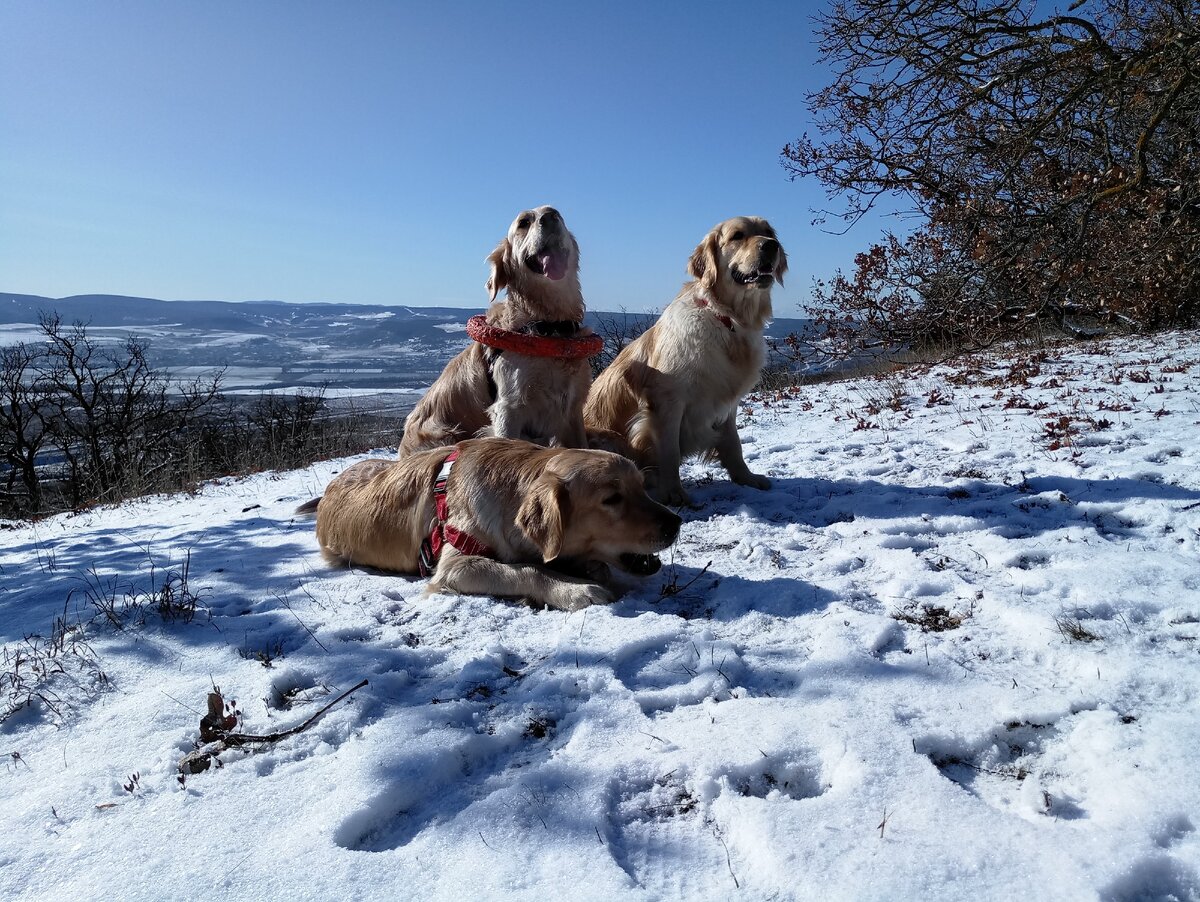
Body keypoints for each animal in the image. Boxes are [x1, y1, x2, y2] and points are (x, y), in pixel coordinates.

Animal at [298, 439, 681, 614]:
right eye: (612, 499)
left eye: (641, 487)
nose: (675, 523)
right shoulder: (454, 566)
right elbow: (526, 569)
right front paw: (574, 589)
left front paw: (585, 569)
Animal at [398, 207, 595, 453]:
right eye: (523, 223)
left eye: (559, 216)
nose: (550, 216)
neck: (549, 326)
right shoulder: (508, 409)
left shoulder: (573, 409)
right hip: (444, 436)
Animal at [583, 214, 787, 503]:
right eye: (737, 236)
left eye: (769, 232)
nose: (771, 246)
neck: (728, 319)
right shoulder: (667, 401)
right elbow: (670, 452)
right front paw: (674, 494)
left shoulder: (727, 403)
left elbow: (733, 443)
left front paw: (745, 478)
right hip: (608, 438)